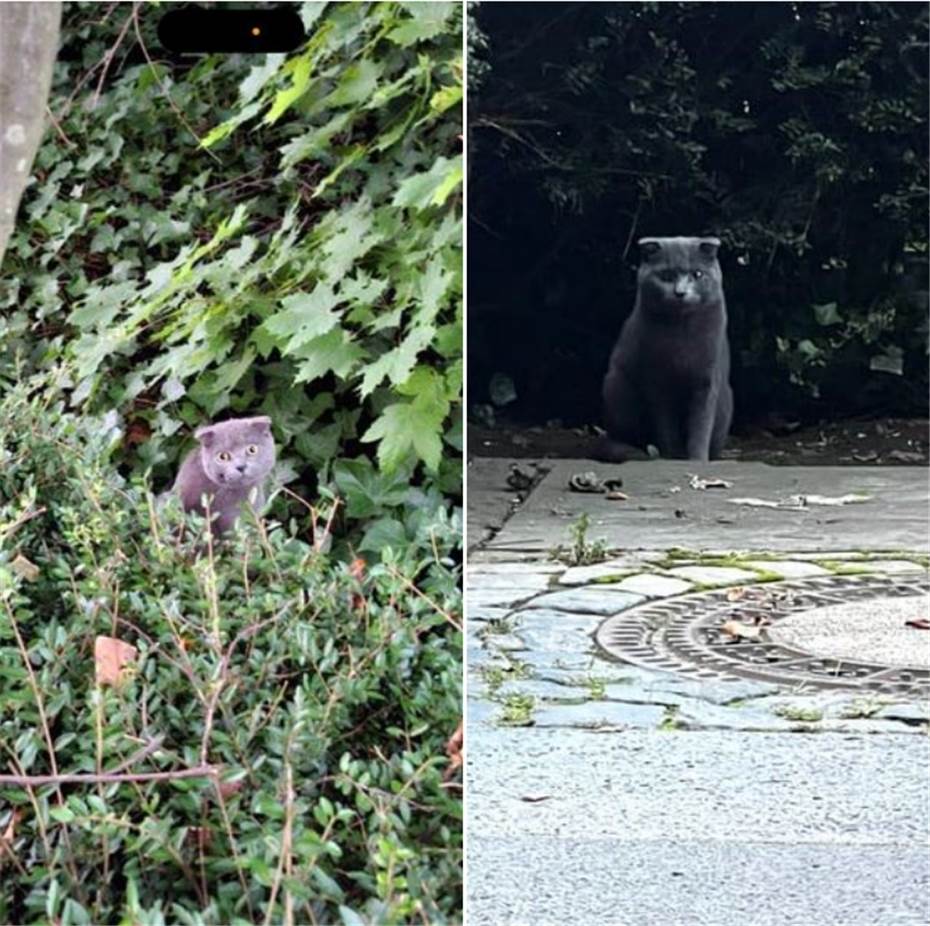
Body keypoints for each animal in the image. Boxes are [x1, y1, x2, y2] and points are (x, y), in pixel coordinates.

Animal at [596, 236, 732, 460]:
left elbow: (701, 425)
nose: (680, 292)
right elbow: (665, 425)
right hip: (616, 384)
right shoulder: (657, 380)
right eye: (666, 275)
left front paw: (697, 459)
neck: (681, 332)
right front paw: (672, 456)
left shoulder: (706, 379)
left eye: (698, 274)